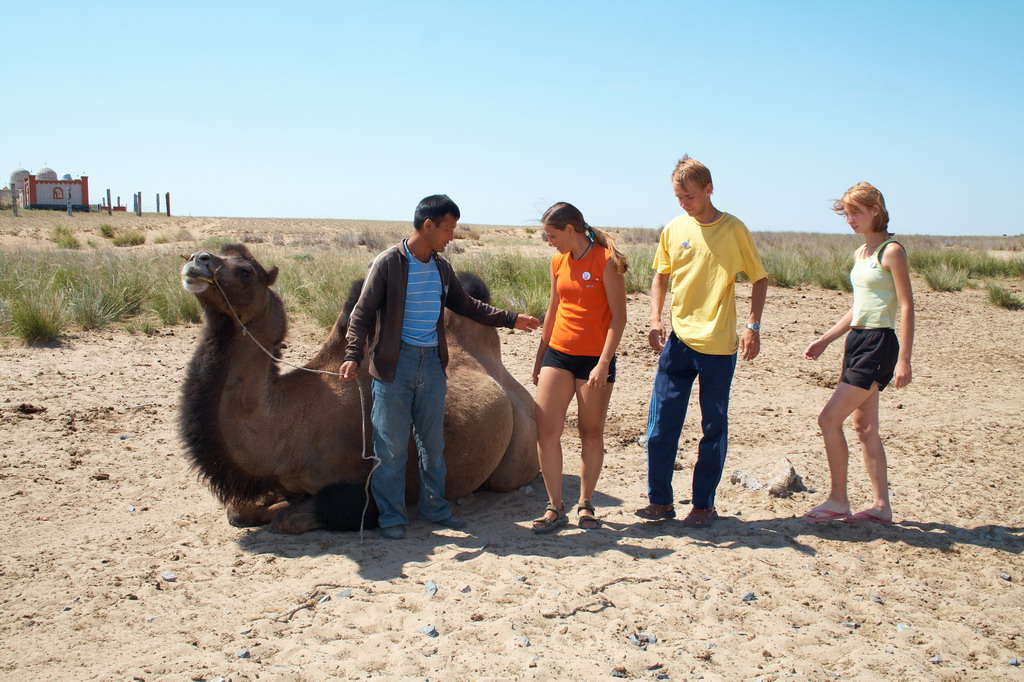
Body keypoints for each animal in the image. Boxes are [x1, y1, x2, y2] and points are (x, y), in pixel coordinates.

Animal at [179, 244, 538, 534]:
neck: (288, 425)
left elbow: (296, 516)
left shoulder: (367, 485)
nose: (197, 259)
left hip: (519, 452)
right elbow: (238, 510)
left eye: (246, 271)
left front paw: (285, 512)